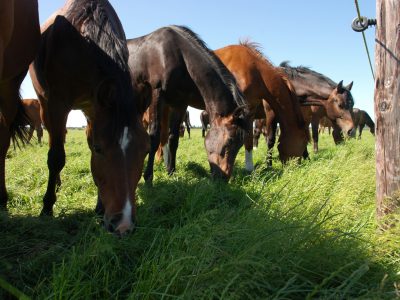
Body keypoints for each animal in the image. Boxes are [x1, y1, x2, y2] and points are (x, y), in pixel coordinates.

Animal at [29, 0, 148, 234]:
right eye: (100, 149)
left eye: (146, 150)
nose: (123, 225)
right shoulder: (56, 104)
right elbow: (56, 158)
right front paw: (47, 208)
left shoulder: (95, 109)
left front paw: (100, 208)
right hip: (45, 108)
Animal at [128, 26, 250, 183]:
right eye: (229, 141)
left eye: (240, 144)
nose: (223, 178)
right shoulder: (157, 93)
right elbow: (154, 136)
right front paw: (148, 176)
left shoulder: (180, 103)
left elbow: (173, 139)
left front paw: (171, 171)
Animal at [214, 41, 308, 169]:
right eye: (303, 141)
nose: (296, 166)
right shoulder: (263, 113)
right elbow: (265, 139)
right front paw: (262, 167)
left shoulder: (251, 110)